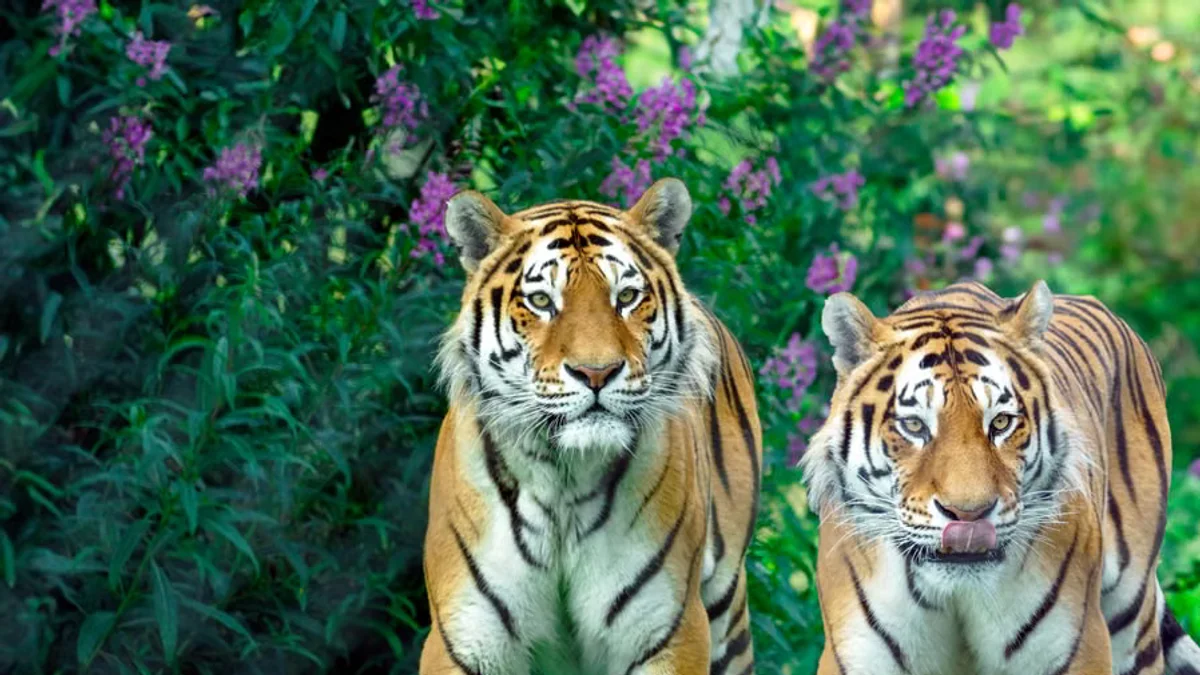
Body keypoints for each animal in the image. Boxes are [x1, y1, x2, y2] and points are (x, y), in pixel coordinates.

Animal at [421, 178, 761, 675]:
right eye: (541, 301)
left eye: (627, 297)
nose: (596, 372)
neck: (562, 476)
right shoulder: (467, 637)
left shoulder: (667, 631)